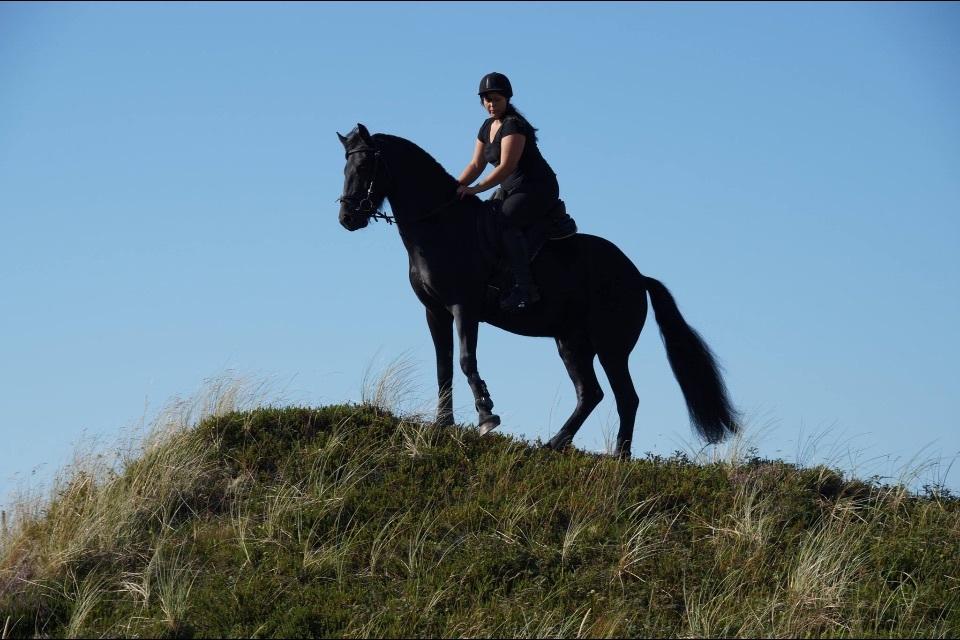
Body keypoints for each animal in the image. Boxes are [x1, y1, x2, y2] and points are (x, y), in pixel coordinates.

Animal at [340, 124, 744, 456]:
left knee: (626, 397)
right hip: (572, 342)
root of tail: (637, 276)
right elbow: (444, 366)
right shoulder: (435, 311)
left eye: (364, 167)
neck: (441, 225)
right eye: (345, 167)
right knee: (591, 394)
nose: (347, 218)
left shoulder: (463, 307)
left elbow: (466, 360)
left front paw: (487, 417)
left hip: (611, 346)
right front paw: (443, 424)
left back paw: (619, 456)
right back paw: (555, 444)